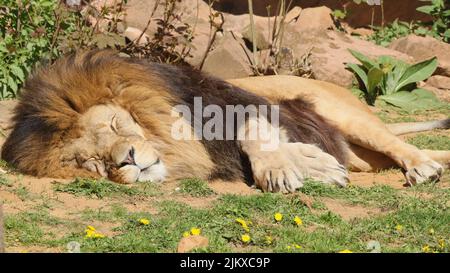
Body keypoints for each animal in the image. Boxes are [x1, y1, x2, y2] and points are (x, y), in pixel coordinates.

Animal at [0, 50, 450, 191]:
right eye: (91, 163)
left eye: (114, 125)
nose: (126, 159)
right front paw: (314, 164)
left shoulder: (234, 101)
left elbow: (255, 134)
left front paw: (292, 168)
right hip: (363, 157)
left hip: (348, 116)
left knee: (404, 146)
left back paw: (423, 168)